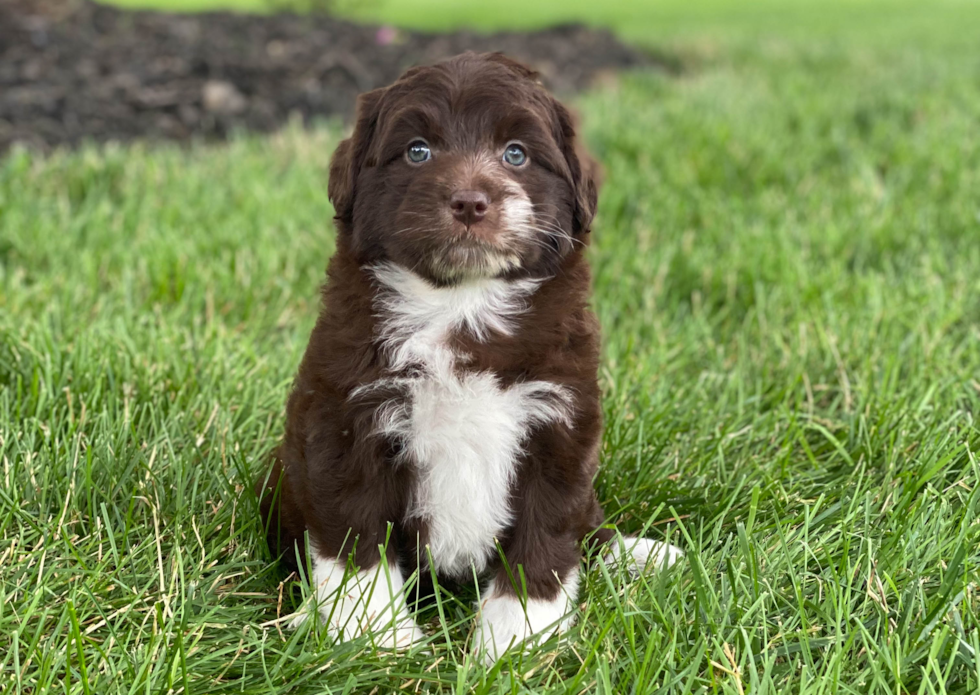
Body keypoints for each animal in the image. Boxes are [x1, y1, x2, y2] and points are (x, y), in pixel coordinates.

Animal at [255, 53, 680, 664]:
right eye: (417, 151)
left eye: (516, 154)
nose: (470, 202)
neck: (461, 304)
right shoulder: (347, 419)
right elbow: (357, 538)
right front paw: (374, 639)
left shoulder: (559, 423)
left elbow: (544, 539)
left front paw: (516, 644)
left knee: (587, 525)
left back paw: (637, 554)